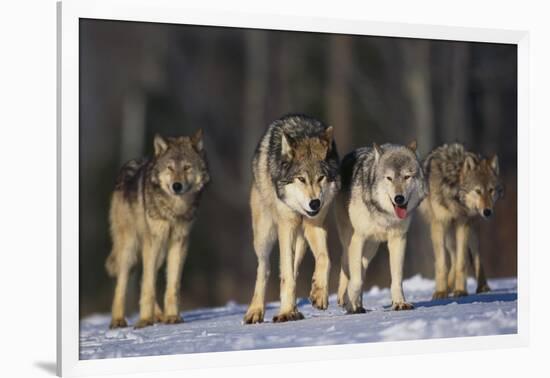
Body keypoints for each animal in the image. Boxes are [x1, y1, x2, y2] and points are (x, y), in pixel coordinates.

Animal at [105, 130, 211, 328]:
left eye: (187, 167)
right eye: (169, 168)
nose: (177, 186)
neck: (174, 209)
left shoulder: (179, 242)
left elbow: (172, 285)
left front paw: (172, 317)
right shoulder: (153, 242)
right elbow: (148, 285)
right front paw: (145, 320)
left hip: (159, 252)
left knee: (144, 278)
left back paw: (160, 316)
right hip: (131, 249)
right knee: (122, 284)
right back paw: (118, 320)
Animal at [245, 113, 340, 324]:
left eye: (321, 178)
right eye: (301, 179)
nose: (315, 203)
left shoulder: (314, 224)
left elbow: (325, 258)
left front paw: (319, 293)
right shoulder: (286, 225)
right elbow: (285, 274)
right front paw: (286, 311)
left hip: (301, 239)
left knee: (293, 269)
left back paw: (294, 310)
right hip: (264, 235)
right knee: (265, 268)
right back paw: (256, 311)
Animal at [334, 142, 430, 314]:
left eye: (407, 176)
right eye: (389, 178)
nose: (399, 199)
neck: (385, 214)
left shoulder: (398, 239)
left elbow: (397, 278)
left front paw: (400, 303)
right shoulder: (358, 238)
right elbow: (356, 279)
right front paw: (349, 301)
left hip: (372, 248)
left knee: (362, 267)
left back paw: (358, 304)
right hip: (350, 240)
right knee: (346, 264)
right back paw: (345, 299)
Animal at [420, 143, 506, 300]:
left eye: (491, 190)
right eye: (477, 191)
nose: (487, 212)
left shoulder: (463, 224)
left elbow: (462, 262)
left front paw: (460, 290)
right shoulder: (439, 224)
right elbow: (442, 263)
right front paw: (441, 292)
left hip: (470, 231)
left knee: (475, 257)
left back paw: (482, 287)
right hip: (448, 233)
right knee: (453, 258)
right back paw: (448, 287)